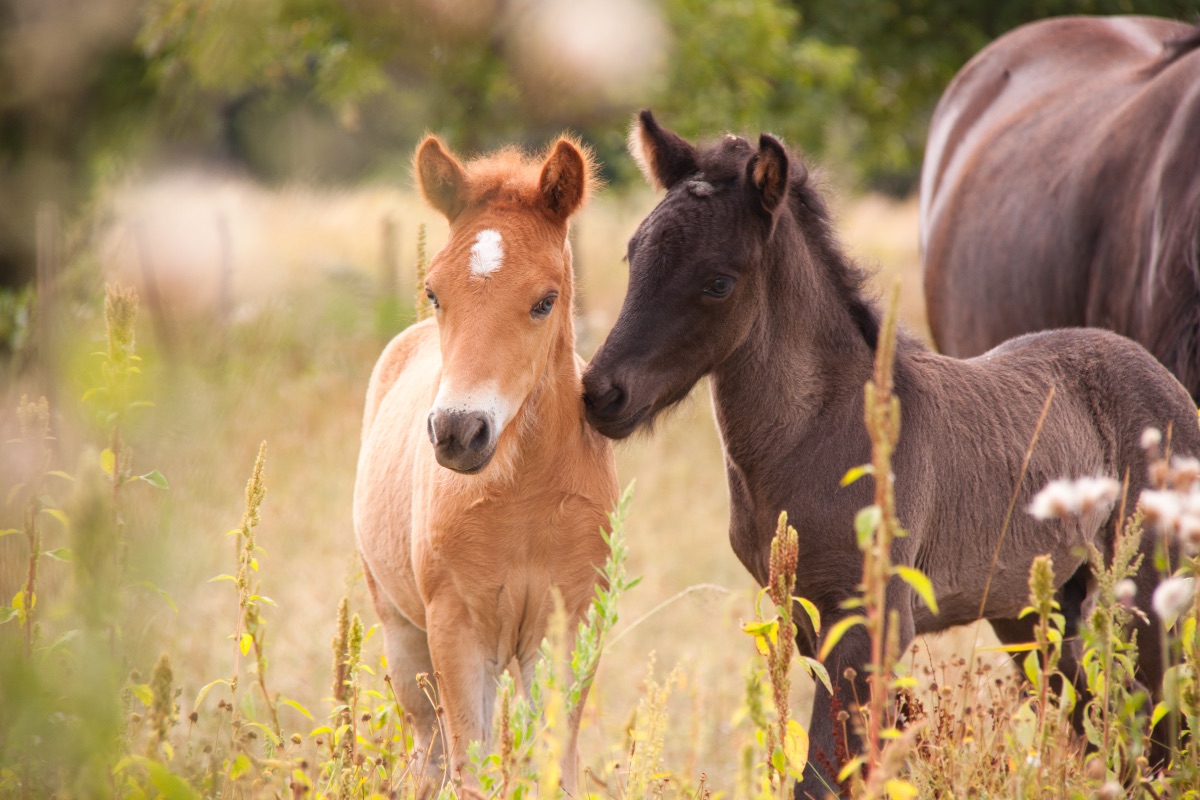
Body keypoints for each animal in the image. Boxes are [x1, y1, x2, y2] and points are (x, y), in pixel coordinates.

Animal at [352, 136, 619, 786]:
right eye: (434, 292)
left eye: (545, 301)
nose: (457, 431)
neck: (524, 494)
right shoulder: (457, 629)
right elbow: (470, 767)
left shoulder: (568, 625)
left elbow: (552, 763)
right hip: (403, 634)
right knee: (429, 752)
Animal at [583, 110, 1200, 796]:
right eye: (633, 255)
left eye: (718, 282)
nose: (601, 393)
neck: (816, 433)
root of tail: (1166, 384)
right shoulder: (811, 626)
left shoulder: (870, 628)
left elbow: (824, 776)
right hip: (1034, 609)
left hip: (1147, 595)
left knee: (1157, 734)